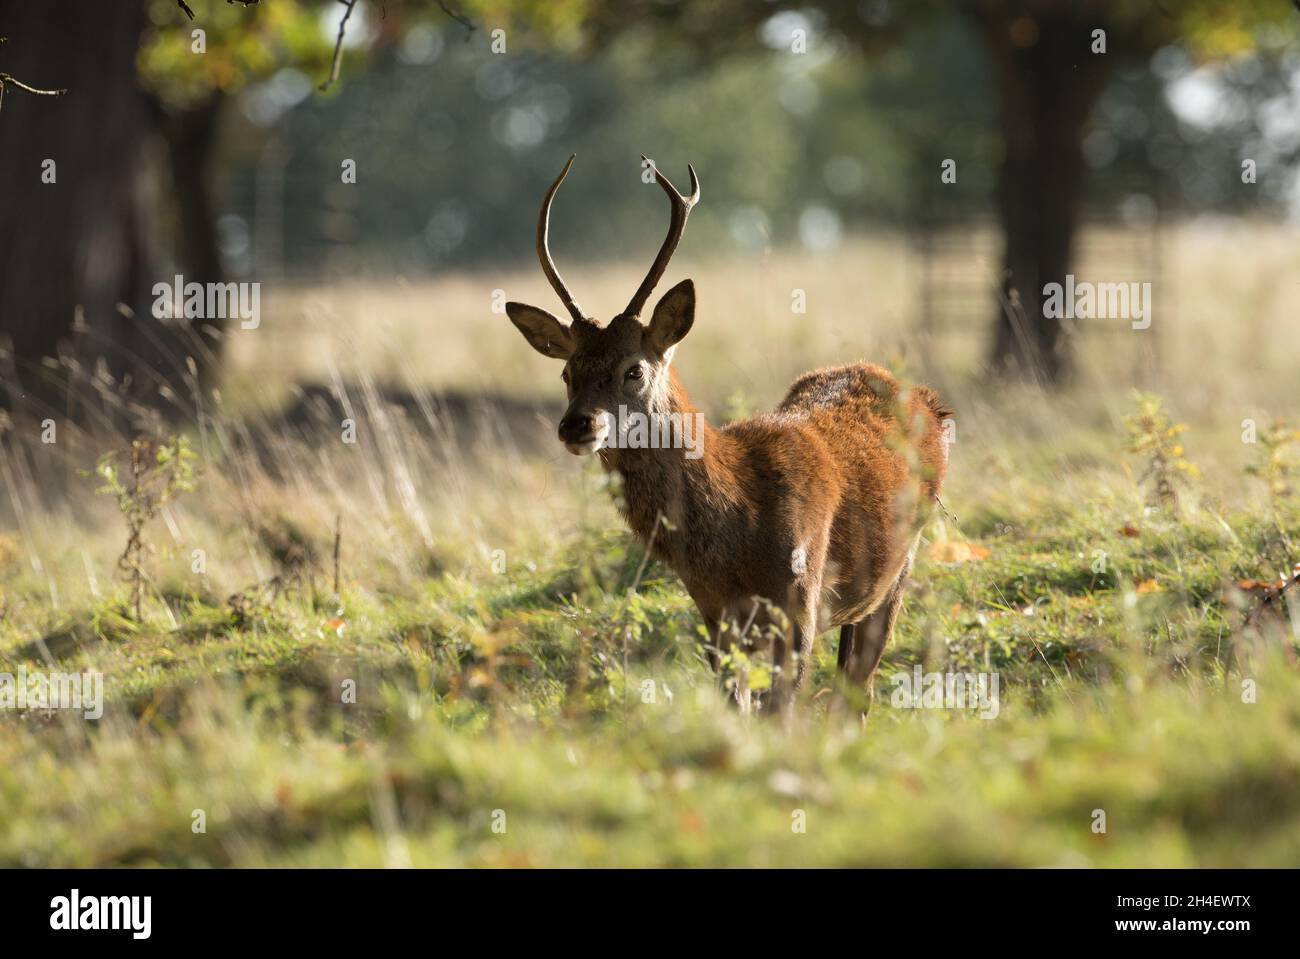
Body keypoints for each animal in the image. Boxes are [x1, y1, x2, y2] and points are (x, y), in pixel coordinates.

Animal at [504, 155, 952, 716]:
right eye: (567, 373)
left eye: (634, 369)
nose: (575, 424)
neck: (739, 525)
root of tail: (928, 400)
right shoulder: (714, 613)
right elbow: (736, 706)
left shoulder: (799, 601)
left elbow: (780, 712)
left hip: (900, 565)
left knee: (858, 689)